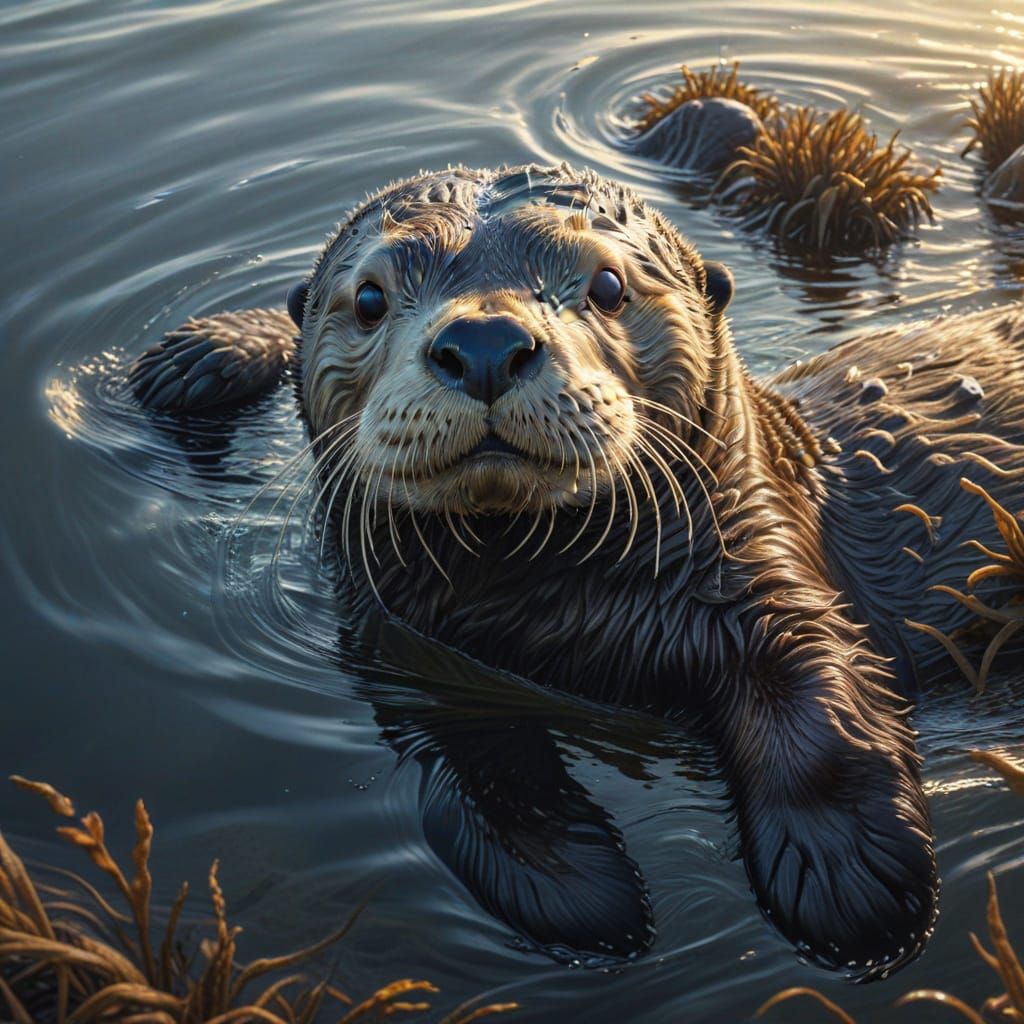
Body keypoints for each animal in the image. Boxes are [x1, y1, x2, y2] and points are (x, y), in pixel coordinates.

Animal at [128, 163, 1024, 978]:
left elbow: (820, 695)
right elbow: (473, 774)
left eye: (608, 284)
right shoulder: (408, 653)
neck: (568, 611)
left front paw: (850, 869)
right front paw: (576, 889)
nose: (484, 343)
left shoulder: (767, 574)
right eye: (372, 299)